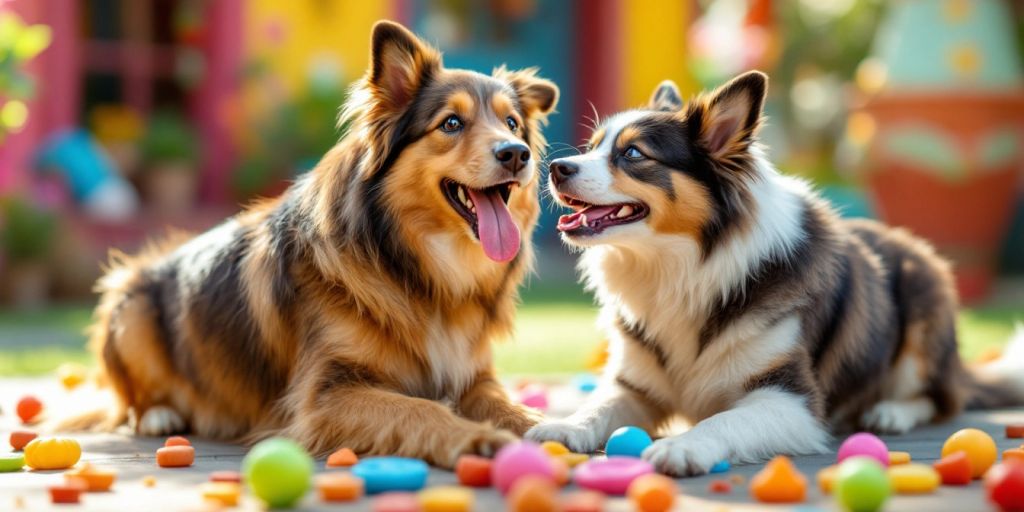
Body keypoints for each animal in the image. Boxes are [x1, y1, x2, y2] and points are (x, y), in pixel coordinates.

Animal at [65, 20, 561, 468]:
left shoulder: (474, 378)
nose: (516, 153)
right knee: (130, 401)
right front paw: (476, 437)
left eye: (512, 123)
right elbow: (421, 409)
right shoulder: (325, 395)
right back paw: (158, 415)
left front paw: (551, 425)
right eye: (452, 123)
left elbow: (508, 405)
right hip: (129, 307)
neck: (421, 268)